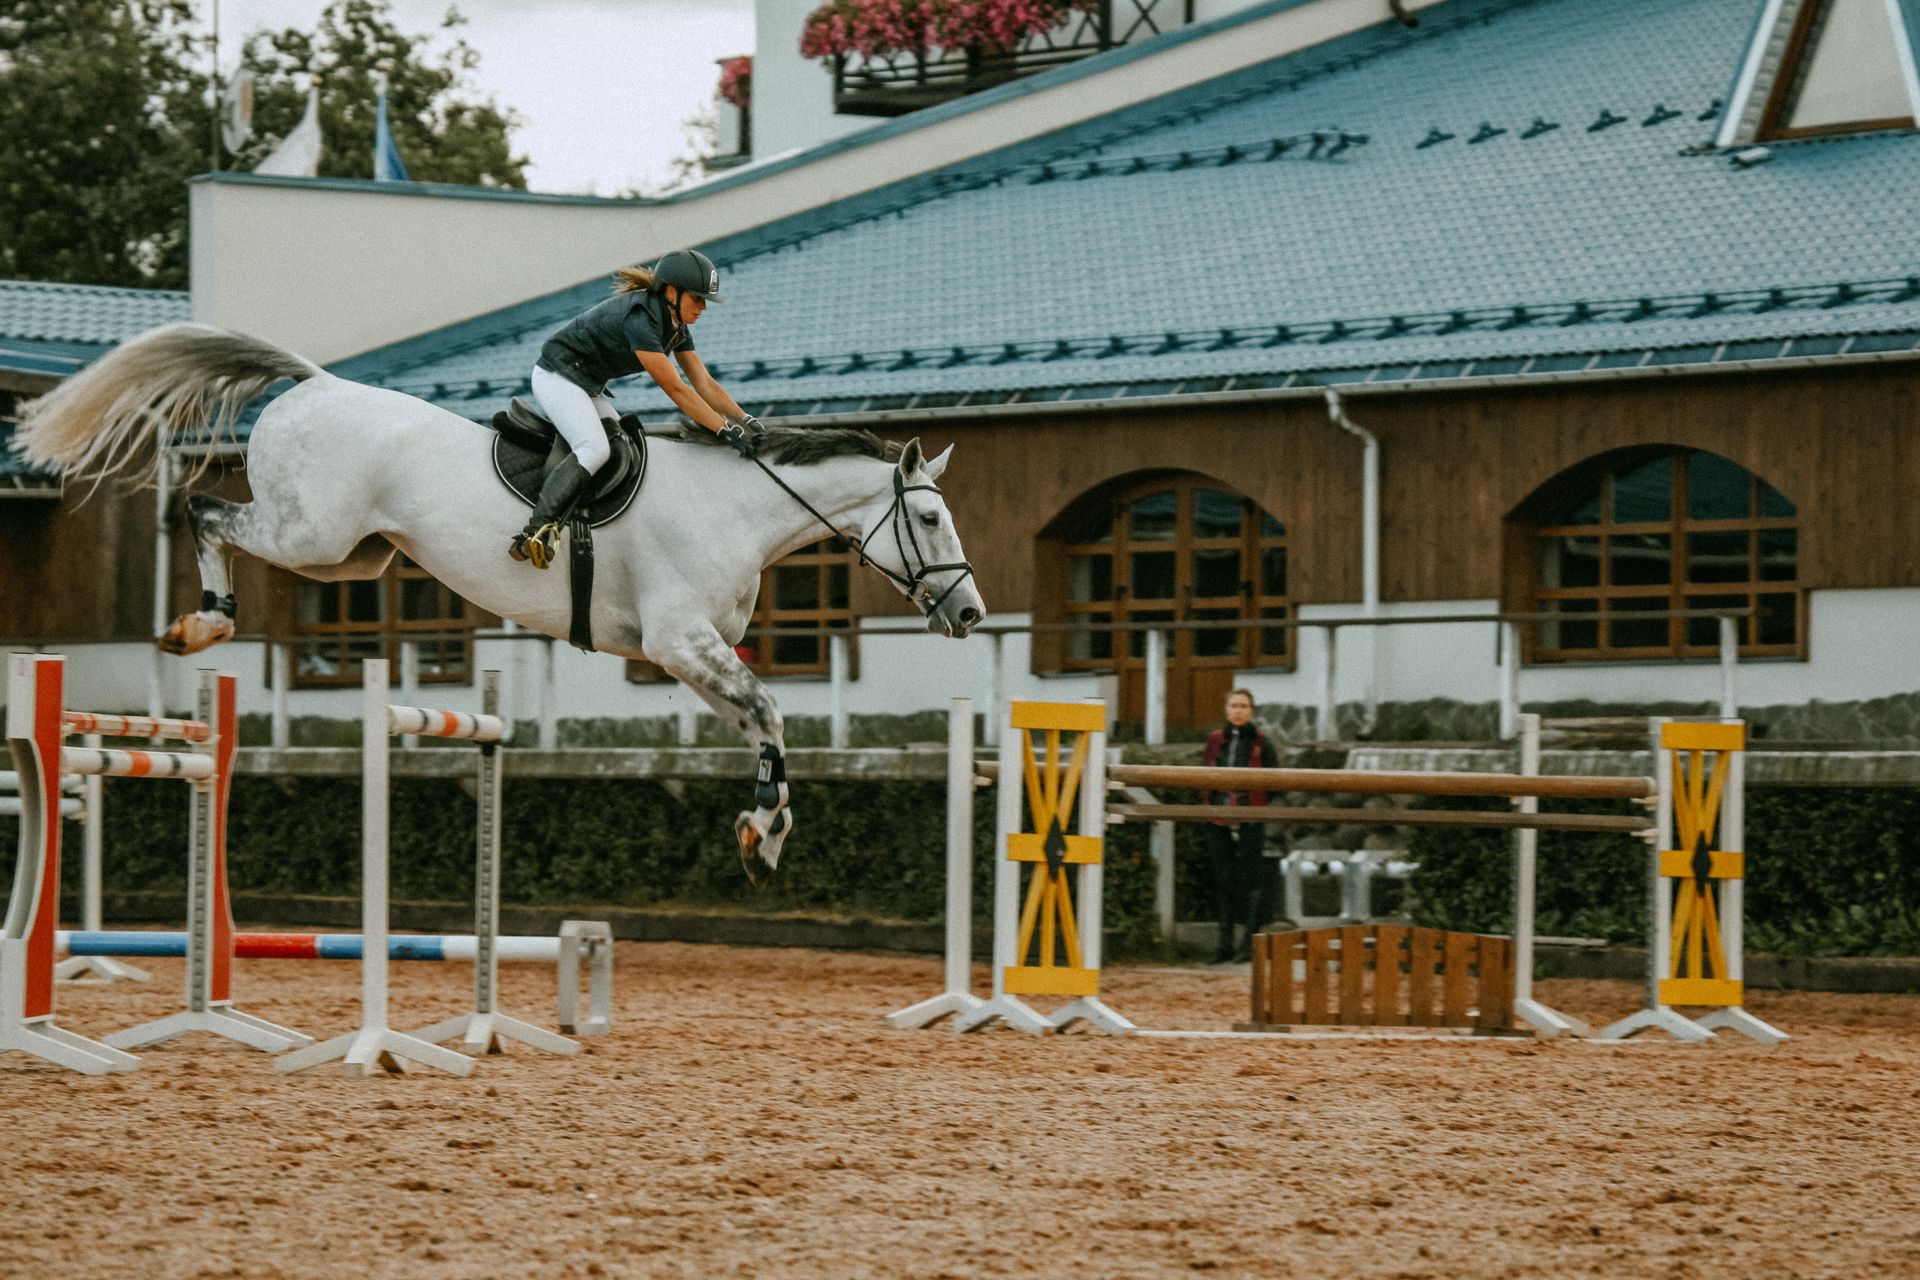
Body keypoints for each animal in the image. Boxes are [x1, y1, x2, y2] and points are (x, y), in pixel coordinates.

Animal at [7, 322, 983, 882]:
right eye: (932, 517)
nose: (971, 616)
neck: (733, 509)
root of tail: (316, 381)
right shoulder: (681, 642)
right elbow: (773, 714)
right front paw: (767, 830)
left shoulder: (688, 656)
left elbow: (764, 728)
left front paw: (761, 835)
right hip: (307, 533)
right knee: (204, 511)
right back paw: (201, 621)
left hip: (350, 560)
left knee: (235, 526)